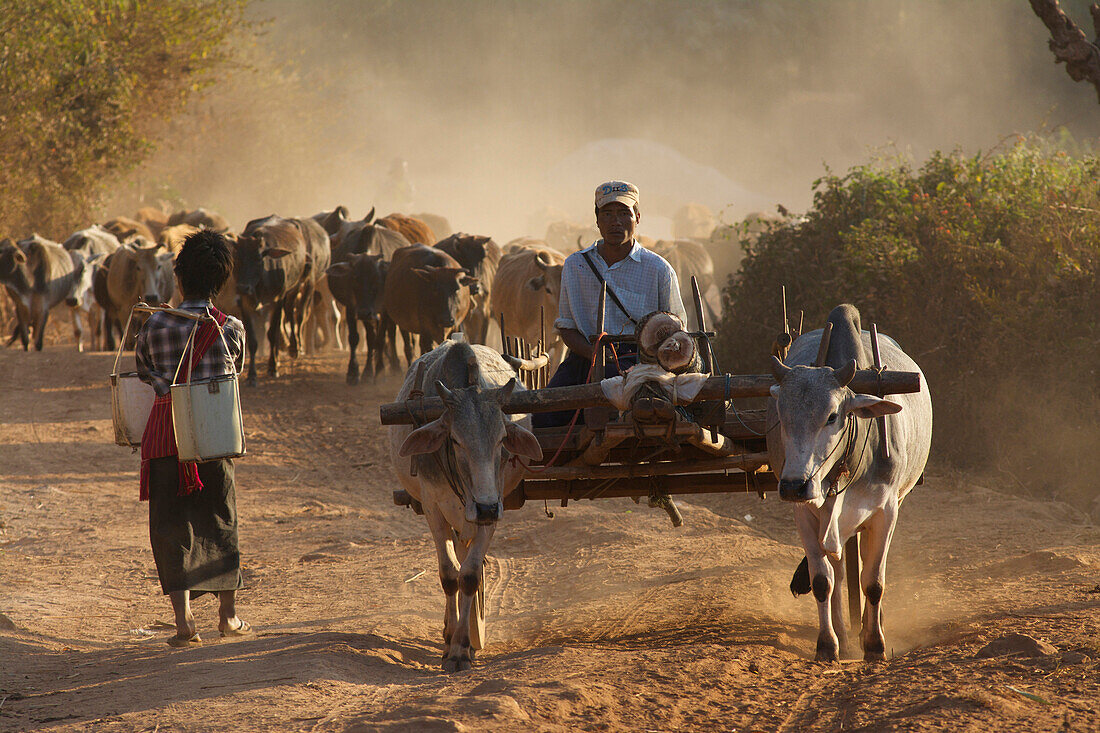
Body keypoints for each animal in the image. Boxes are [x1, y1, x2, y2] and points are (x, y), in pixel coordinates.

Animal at [389, 338, 543, 669]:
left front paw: (461, 648)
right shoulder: (433, 508)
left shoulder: (495, 507)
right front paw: (452, 642)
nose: (485, 507)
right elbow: (449, 575)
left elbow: (470, 575)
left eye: (501, 439)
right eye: (456, 440)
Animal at [770, 301, 932, 660]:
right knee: (840, 572)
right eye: (782, 417)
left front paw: (874, 644)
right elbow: (823, 581)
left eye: (832, 416)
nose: (793, 485)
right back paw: (844, 636)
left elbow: (873, 582)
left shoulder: (886, 511)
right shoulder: (805, 514)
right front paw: (828, 645)